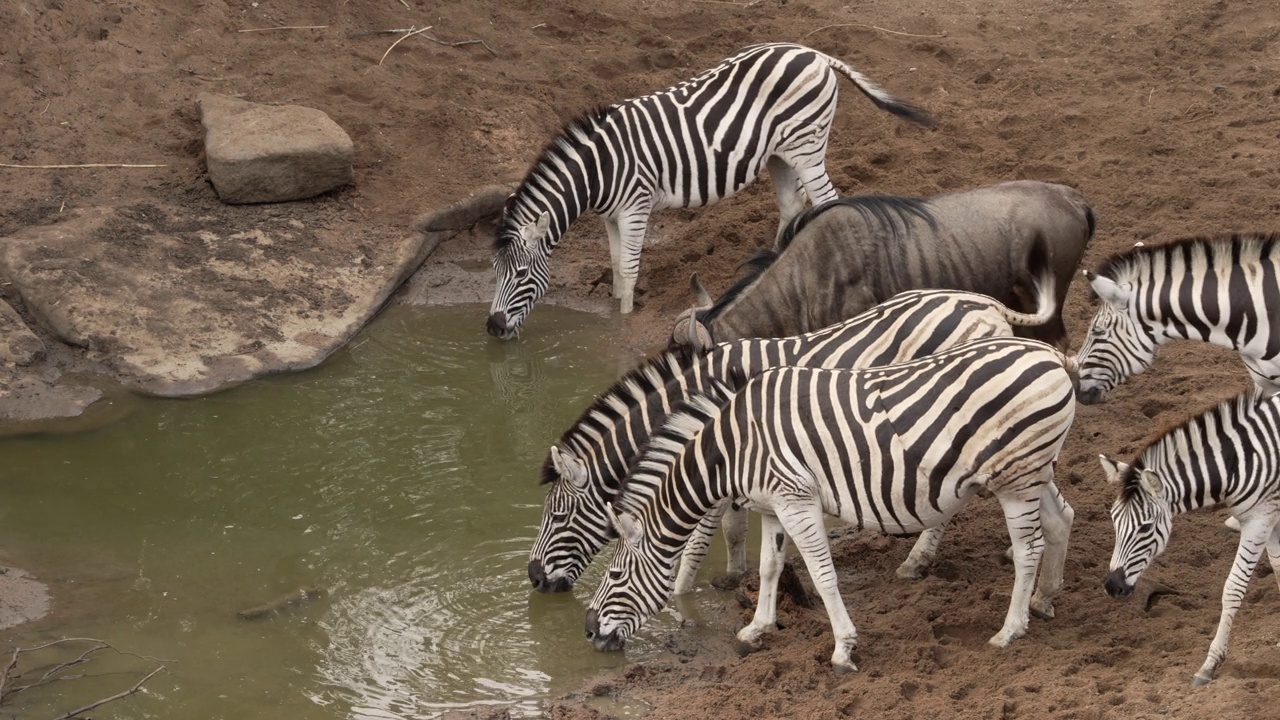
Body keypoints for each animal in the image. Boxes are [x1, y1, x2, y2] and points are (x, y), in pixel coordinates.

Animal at [483, 41, 936, 338]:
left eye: (521, 273)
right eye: (495, 271)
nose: (491, 328)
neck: (599, 170)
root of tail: (812, 52)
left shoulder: (635, 206)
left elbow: (629, 269)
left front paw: (623, 323)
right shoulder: (611, 215)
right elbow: (614, 265)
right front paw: (612, 312)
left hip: (807, 146)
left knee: (826, 200)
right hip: (779, 154)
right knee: (793, 206)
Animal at [524, 280, 1054, 594]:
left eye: (559, 515)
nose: (532, 578)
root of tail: (983, 302)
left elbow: (702, 534)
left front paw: (680, 595)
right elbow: (734, 527)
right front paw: (736, 576)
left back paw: (920, 560)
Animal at [588, 335, 1080, 666]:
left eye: (614, 575)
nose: (588, 631)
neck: (732, 449)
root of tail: (1051, 354)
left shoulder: (796, 499)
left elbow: (823, 576)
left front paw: (843, 648)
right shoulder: (774, 506)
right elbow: (769, 567)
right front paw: (755, 629)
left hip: (1016, 479)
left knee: (1027, 549)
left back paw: (1010, 630)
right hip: (1034, 470)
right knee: (1061, 520)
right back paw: (1044, 600)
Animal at [1095, 389, 1280, 686]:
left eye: (1145, 528)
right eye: (1113, 520)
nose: (1113, 586)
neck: (1239, 461)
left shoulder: (1258, 520)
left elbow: (1233, 588)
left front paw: (1209, 665)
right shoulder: (1271, 517)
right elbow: (1278, 568)